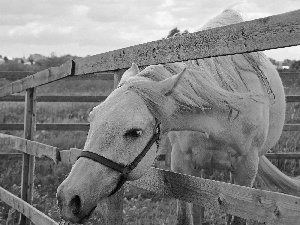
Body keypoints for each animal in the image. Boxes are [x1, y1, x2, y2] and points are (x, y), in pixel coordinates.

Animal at [56, 7, 298, 224]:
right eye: (92, 120)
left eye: (134, 132)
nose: (68, 198)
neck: (221, 119)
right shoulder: (182, 165)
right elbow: (185, 216)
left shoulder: (245, 173)